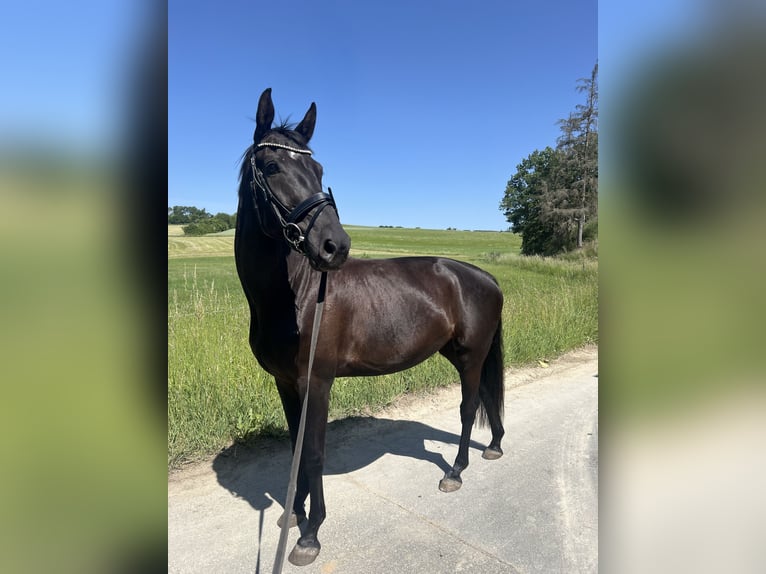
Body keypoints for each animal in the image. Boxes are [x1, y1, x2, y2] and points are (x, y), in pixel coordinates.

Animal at [234, 88, 506, 566]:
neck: (297, 295)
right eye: (271, 166)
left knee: (469, 406)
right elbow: (296, 449)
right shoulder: (286, 383)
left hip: (471, 355)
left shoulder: (316, 383)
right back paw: (492, 447)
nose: (335, 246)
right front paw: (294, 513)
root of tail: (485, 278)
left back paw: (456, 471)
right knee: (488, 399)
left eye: (319, 170)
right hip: (463, 353)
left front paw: (310, 535)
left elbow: (314, 454)